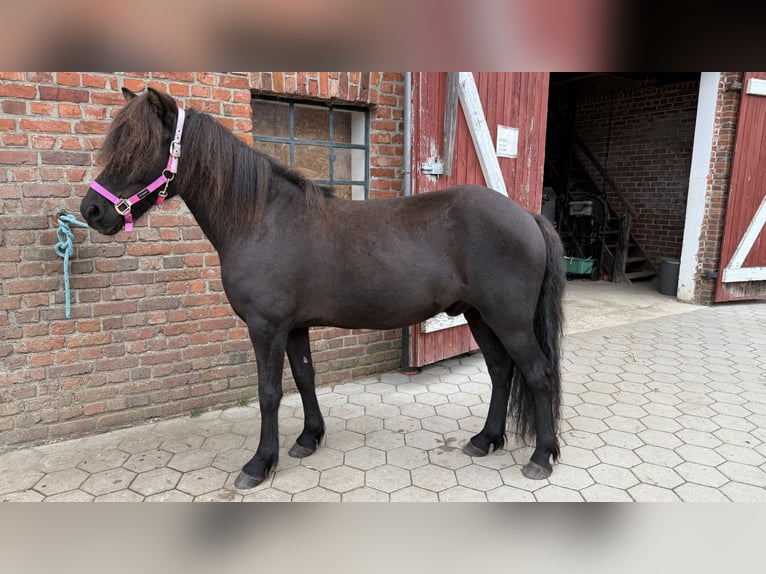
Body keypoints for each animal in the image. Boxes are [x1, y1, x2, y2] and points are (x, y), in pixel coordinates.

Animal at [80, 87, 566, 489]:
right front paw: (308, 438)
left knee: (538, 374)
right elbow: (305, 378)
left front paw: (260, 464)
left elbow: (269, 393)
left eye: (139, 147)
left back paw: (540, 458)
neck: (261, 219)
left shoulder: (266, 327)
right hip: (478, 315)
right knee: (501, 371)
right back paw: (485, 439)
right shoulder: (293, 327)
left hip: (509, 321)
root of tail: (526, 216)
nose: (92, 211)